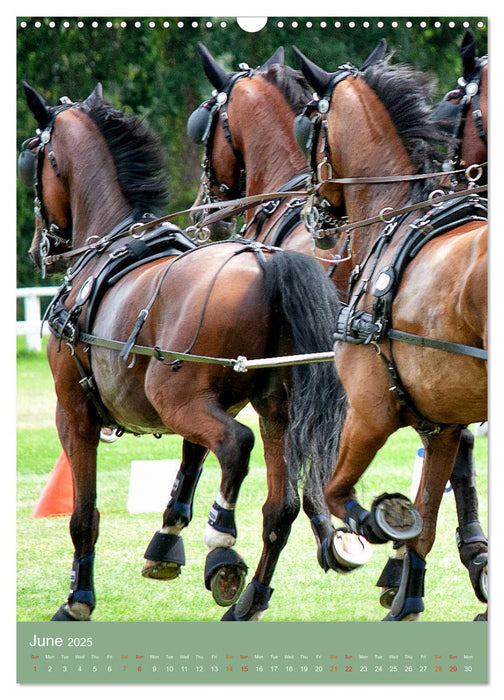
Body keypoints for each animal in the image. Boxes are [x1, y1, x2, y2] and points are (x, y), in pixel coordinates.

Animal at [18, 79, 346, 620]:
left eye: (32, 156)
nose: (37, 249)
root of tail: (266, 261)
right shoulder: (208, 405)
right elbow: (191, 461)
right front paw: (166, 543)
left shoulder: (74, 414)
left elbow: (83, 516)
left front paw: (77, 599)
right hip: (273, 409)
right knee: (279, 507)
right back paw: (249, 600)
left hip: (177, 397)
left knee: (236, 445)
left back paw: (224, 541)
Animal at [292, 46, 488, 620]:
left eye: (309, 124)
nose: (313, 216)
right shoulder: (442, 426)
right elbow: (425, 523)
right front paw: (408, 598)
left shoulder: (369, 411)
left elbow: (338, 490)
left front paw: (376, 522)